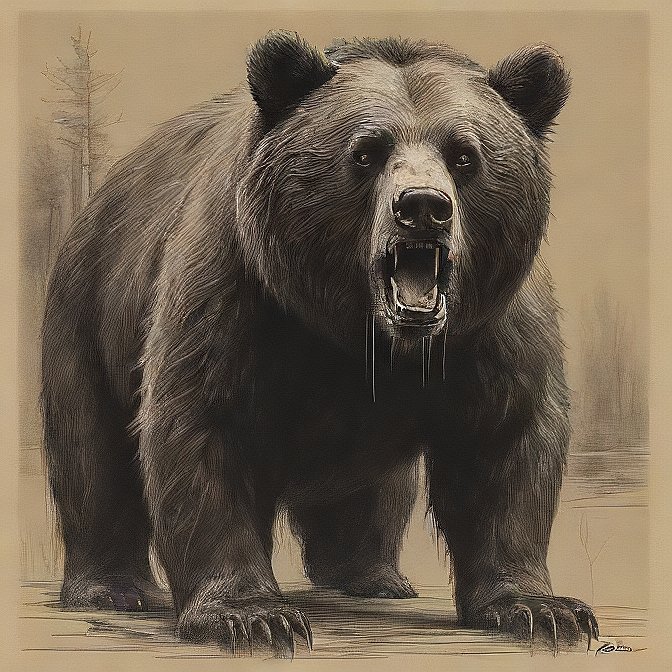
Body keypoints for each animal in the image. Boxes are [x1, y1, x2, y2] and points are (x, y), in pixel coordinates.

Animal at [41, 31, 599, 656]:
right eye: (366, 152)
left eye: (464, 155)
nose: (423, 207)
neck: (363, 337)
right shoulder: (239, 293)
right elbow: (205, 429)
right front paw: (251, 616)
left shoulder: (488, 331)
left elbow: (503, 445)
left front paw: (541, 608)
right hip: (89, 316)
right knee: (93, 456)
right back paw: (112, 588)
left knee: (376, 492)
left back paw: (373, 577)